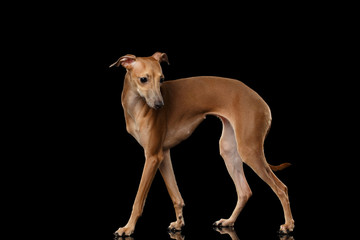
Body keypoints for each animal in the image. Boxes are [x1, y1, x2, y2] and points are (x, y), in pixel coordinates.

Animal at [110, 52, 296, 236]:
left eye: (161, 79)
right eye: (143, 79)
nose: (159, 105)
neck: (136, 107)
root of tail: (262, 102)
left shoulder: (152, 156)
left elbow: (139, 199)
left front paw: (128, 227)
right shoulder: (163, 155)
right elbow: (176, 195)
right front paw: (179, 223)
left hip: (249, 150)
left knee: (281, 188)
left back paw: (288, 225)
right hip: (229, 150)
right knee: (245, 191)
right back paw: (228, 221)